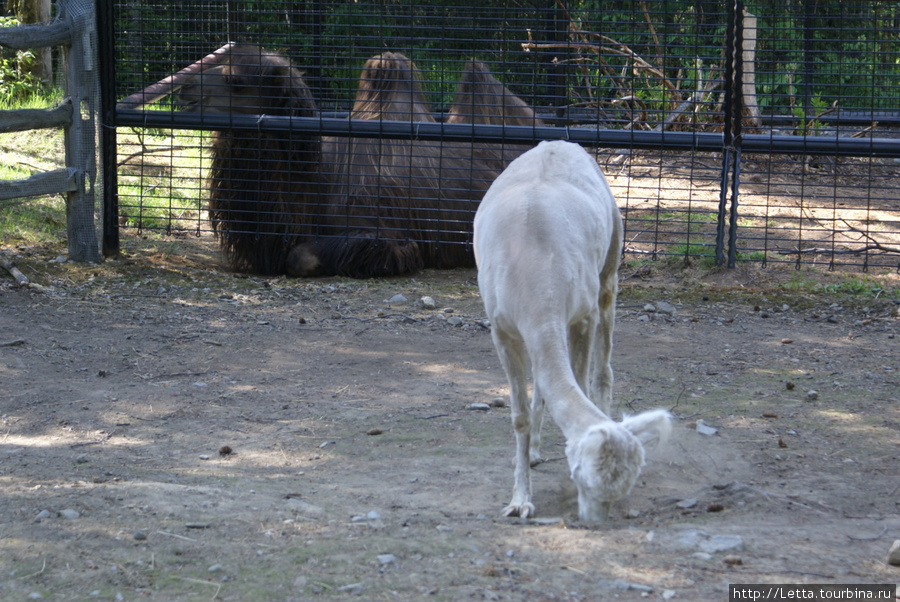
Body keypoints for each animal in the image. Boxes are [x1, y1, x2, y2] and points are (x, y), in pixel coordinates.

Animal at [474, 138, 672, 516]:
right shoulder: (502, 328)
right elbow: (519, 413)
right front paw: (520, 502)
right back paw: (534, 453)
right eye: (586, 478)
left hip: (610, 267)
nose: (593, 519)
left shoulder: (582, 314)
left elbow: (581, 381)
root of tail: (560, 142)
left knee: (603, 369)